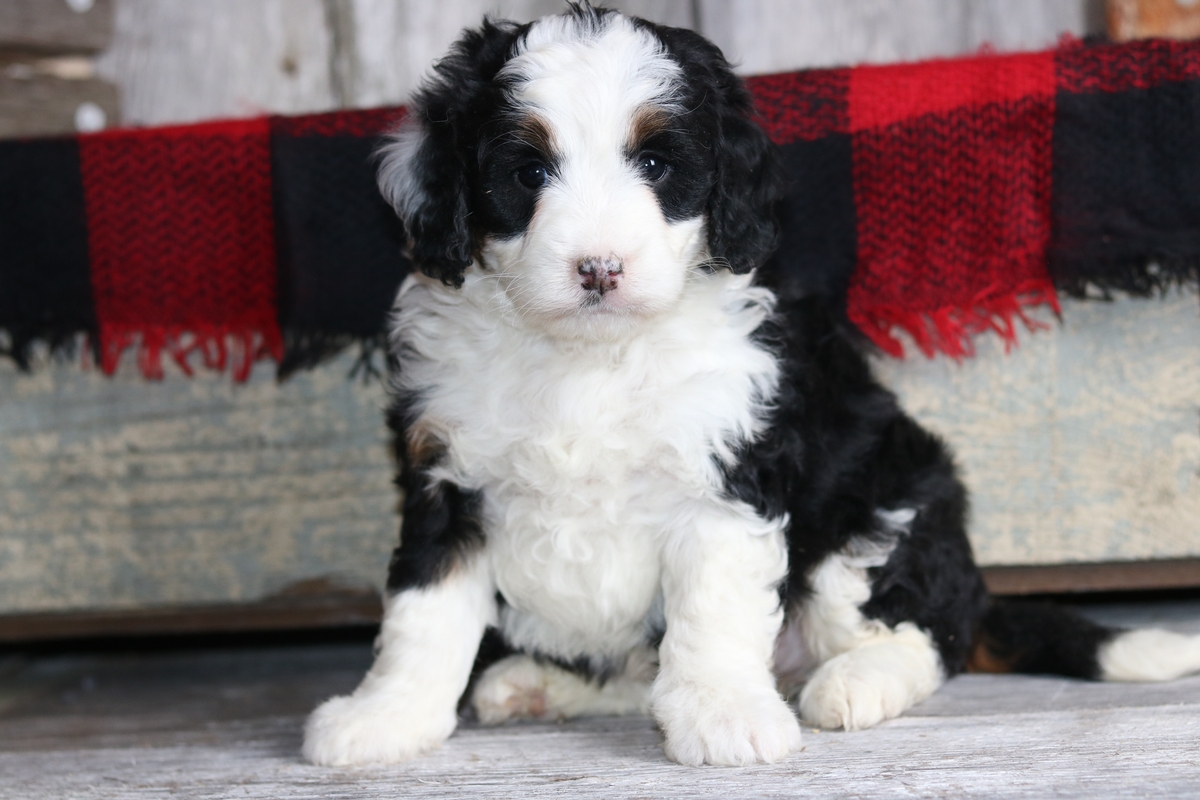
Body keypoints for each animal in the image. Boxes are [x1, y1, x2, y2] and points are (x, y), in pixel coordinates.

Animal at [304, 6, 1200, 767]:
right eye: (527, 173)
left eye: (656, 163)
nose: (599, 268)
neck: (588, 356)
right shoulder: (446, 477)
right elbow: (423, 612)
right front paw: (386, 717)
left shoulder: (728, 473)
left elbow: (713, 613)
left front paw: (725, 713)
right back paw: (536, 683)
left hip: (876, 508)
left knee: (920, 633)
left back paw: (850, 683)